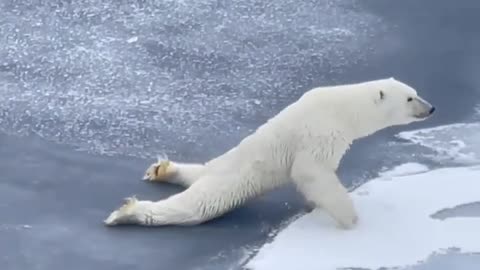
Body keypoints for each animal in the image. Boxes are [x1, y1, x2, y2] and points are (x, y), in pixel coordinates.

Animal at [105, 77, 436, 229]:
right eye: (410, 98)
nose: (431, 107)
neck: (343, 109)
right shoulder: (319, 131)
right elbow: (311, 172)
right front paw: (350, 219)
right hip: (228, 182)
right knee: (195, 207)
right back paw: (126, 212)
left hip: (216, 167)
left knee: (198, 171)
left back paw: (163, 169)